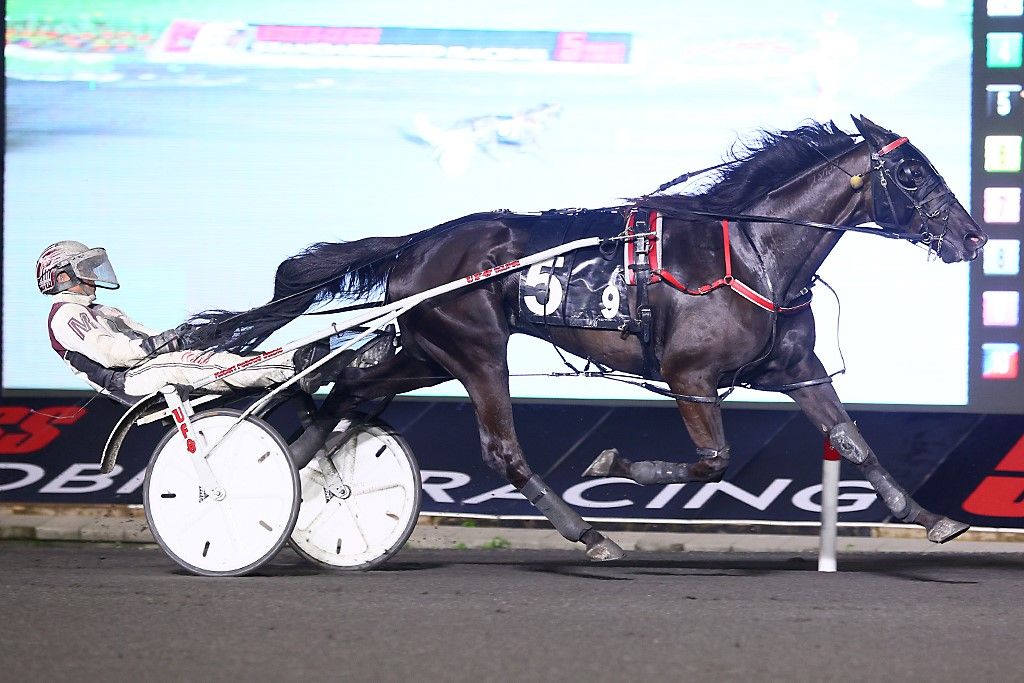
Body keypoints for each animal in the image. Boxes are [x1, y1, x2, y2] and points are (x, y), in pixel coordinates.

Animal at [188, 117, 987, 565]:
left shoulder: (795, 368)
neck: (752, 250)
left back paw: (270, 487)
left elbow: (853, 441)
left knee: (343, 394)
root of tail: (417, 242)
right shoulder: (689, 375)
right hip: (475, 350)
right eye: (911, 172)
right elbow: (713, 459)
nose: (974, 235)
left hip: (422, 353)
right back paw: (589, 533)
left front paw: (933, 519)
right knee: (500, 448)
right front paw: (612, 464)